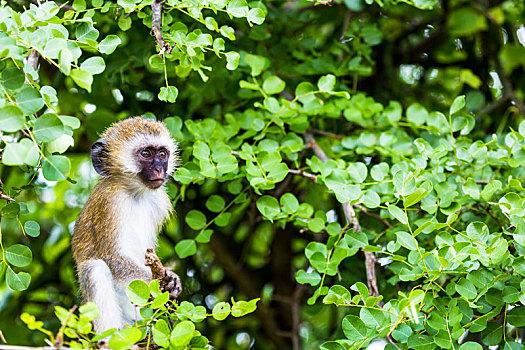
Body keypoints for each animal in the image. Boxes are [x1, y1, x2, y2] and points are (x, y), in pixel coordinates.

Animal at [72, 117, 182, 334]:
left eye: (162, 154)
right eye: (146, 154)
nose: (159, 170)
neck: (135, 193)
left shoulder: (159, 202)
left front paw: (172, 280)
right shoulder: (109, 202)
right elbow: (112, 257)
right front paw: (157, 281)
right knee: (94, 268)